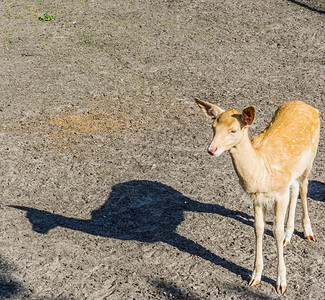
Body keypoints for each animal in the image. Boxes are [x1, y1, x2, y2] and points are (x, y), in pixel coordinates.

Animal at [192, 97, 318, 294]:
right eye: (213, 127)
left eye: (233, 130)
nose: (212, 149)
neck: (261, 173)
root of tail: (307, 106)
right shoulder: (257, 198)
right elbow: (258, 229)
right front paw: (255, 276)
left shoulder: (279, 195)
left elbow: (276, 231)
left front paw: (281, 283)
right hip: (293, 173)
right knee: (295, 189)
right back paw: (289, 235)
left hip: (310, 159)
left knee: (304, 187)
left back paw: (308, 232)